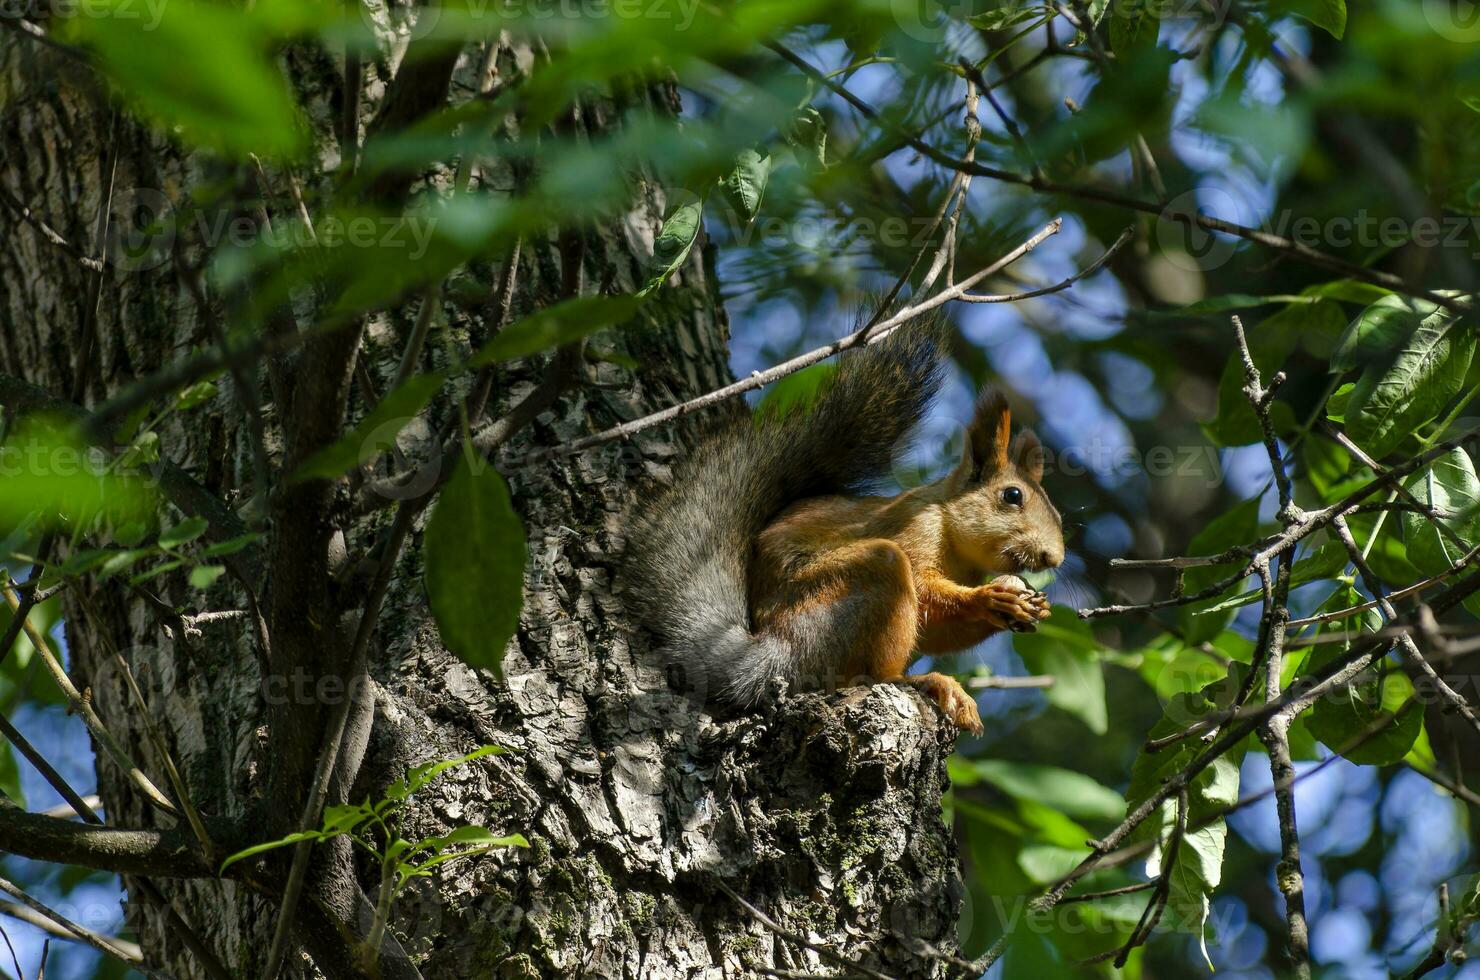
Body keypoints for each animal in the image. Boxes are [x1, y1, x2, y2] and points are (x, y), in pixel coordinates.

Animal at [624, 318, 1065, 734]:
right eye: (1012, 495)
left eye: (1059, 516)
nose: (1054, 558)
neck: (958, 545)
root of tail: (773, 652)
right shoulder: (914, 528)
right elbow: (923, 587)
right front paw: (989, 599)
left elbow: (939, 632)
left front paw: (1032, 608)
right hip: (845, 596)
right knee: (866, 668)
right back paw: (919, 681)